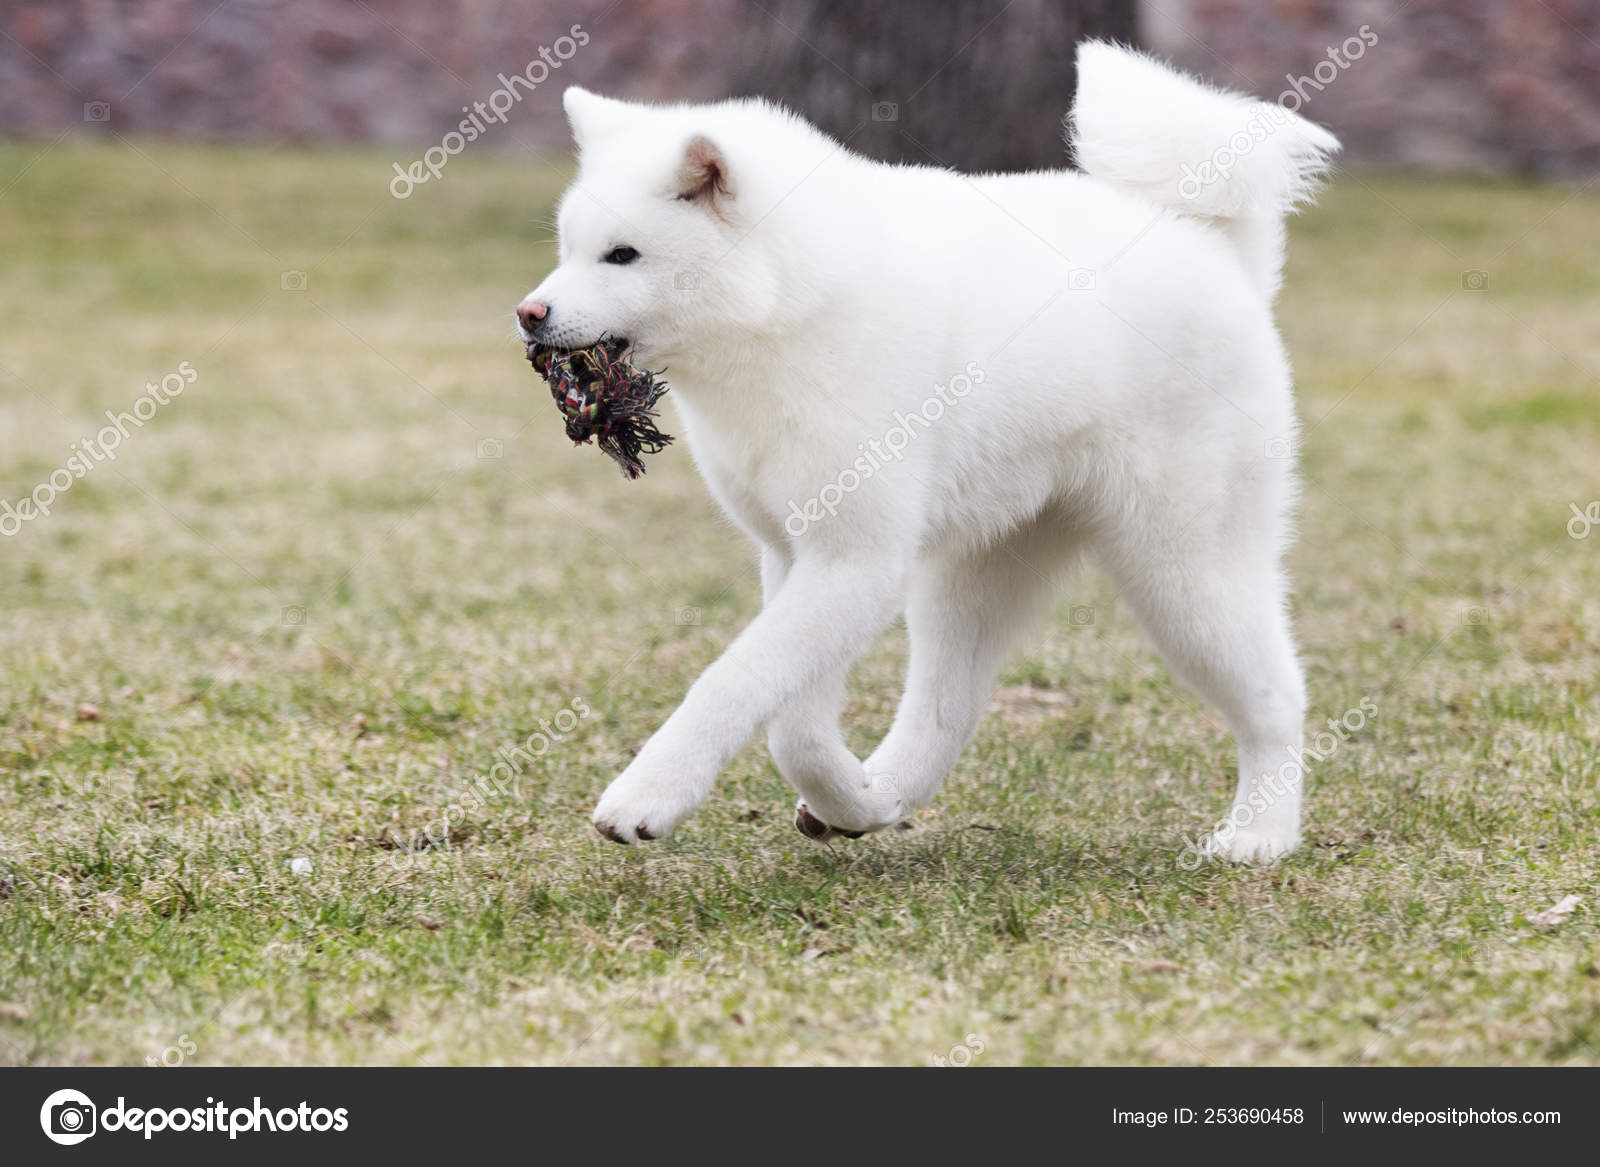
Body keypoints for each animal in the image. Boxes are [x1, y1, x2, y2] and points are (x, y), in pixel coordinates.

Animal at [515, 41, 1337, 858]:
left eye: (623, 255)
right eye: (568, 248)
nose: (529, 313)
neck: (788, 307)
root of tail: (1212, 243)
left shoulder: (857, 561)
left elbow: (735, 682)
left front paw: (645, 798)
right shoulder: (796, 554)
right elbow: (792, 726)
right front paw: (844, 799)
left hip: (1181, 569)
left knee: (1277, 697)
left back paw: (1260, 836)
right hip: (978, 574)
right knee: (949, 708)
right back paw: (881, 795)